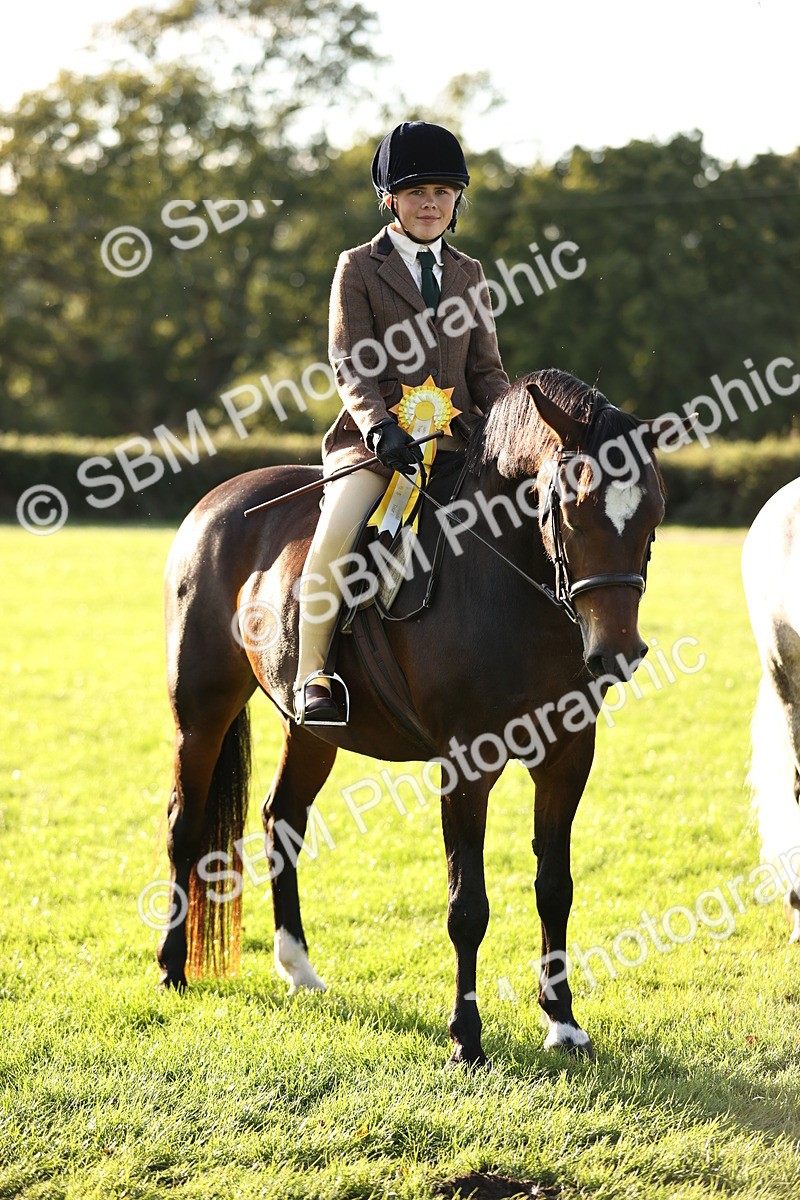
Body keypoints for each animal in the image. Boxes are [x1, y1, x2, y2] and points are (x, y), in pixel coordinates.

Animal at [157, 367, 668, 1065]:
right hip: (200, 709)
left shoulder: (568, 757)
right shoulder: (467, 763)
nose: (617, 652)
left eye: (653, 516)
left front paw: (563, 1023)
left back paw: (298, 969)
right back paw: (171, 967)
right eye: (568, 509)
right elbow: (467, 906)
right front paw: (466, 1040)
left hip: (312, 730)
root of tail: (216, 501)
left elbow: (554, 887)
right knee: (185, 826)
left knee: (281, 819)